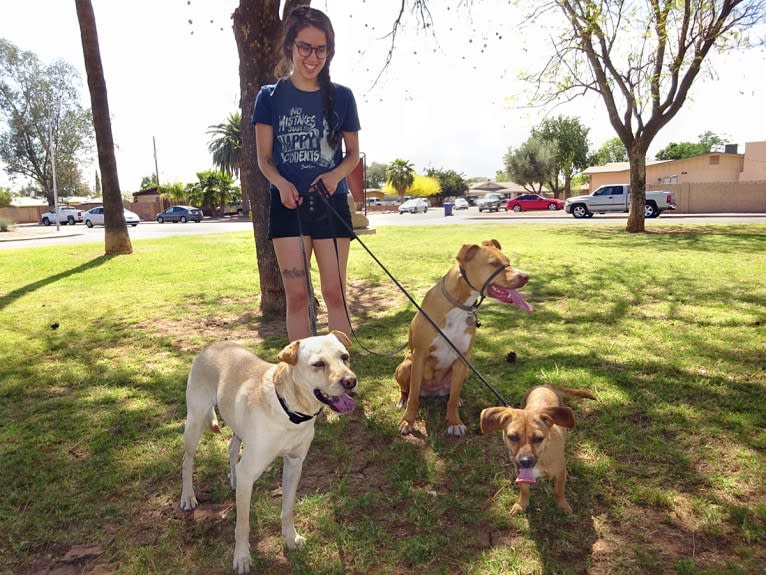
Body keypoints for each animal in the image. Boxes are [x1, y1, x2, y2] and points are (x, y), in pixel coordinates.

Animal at [182, 330, 358, 575]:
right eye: (318, 364)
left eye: (344, 357)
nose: (351, 381)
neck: (289, 410)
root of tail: (211, 346)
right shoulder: (250, 471)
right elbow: (242, 525)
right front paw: (242, 557)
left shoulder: (294, 464)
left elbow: (287, 508)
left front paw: (291, 538)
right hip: (195, 422)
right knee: (187, 460)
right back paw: (188, 496)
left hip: (237, 427)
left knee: (232, 449)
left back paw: (234, 480)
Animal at [396, 240, 536, 436]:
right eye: (494, 263)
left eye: (508, 261)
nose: (526, 276)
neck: (459, 305)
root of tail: (432, 392)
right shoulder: (420, 355)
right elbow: (414, 396)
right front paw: (408, 421)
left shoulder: (462, 357)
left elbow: (453, 397)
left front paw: (454, 421)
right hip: (405, 366)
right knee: (407, 390)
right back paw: (402, 399)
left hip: (465, 372)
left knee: (451, 394)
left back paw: (459, 399)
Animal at [480, 384, 600, 516]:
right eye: (512, 437)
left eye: (538, 438)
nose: (525, 461)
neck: (542, 458)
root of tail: (545, 385)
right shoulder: (520, 472)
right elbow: (525, 491)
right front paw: (521, 504)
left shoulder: (560, 473)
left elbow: (558, 491)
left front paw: (562, 505)